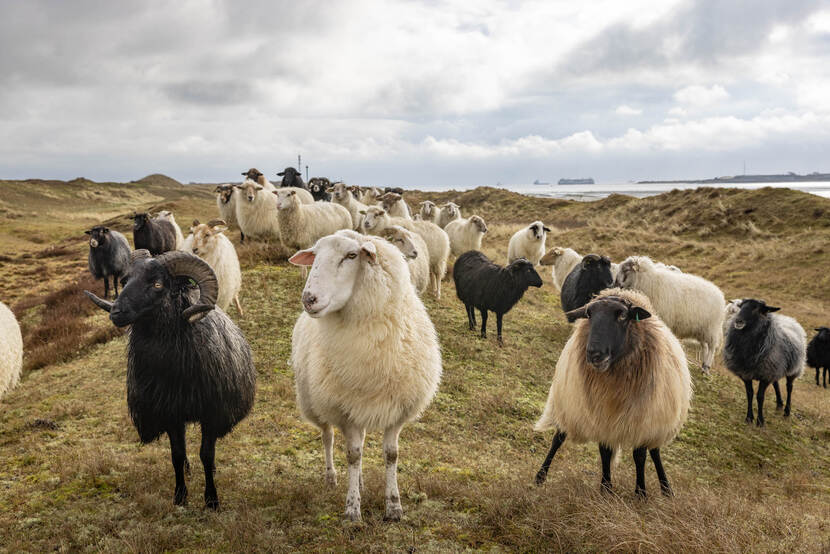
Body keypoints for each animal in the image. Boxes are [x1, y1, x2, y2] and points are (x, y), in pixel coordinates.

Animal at [85, 250, 255, 508]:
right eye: (125, 281)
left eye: (157, 284)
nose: (116, 312)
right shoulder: (171, 413)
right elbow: (177, 454)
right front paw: (180, 496)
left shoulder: (211, 413)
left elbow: (207, 454)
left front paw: (211, 499)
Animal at [288, 227, 442, 516]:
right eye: (314, 256)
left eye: (351, 256)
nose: (309, 299)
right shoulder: (345, 409)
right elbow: (352, 454)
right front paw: (352, 509)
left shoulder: (396, 410)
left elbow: (391, 455)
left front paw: (394, 505)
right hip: (315, 401)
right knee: (328, 438)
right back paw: (332, 477)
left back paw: (359, 481)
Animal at [532, 288, 696, 496]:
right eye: (589, 314)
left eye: (623, 316)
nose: (594, 354)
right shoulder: (601, 415)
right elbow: (605, 451)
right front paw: (606, 488)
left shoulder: (642, 420)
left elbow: (639, 455)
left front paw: (640, 493)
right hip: (569, 405)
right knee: (558, 438)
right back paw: (540, 476)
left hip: (657, 419)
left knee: (654, 450)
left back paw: (666, 490)